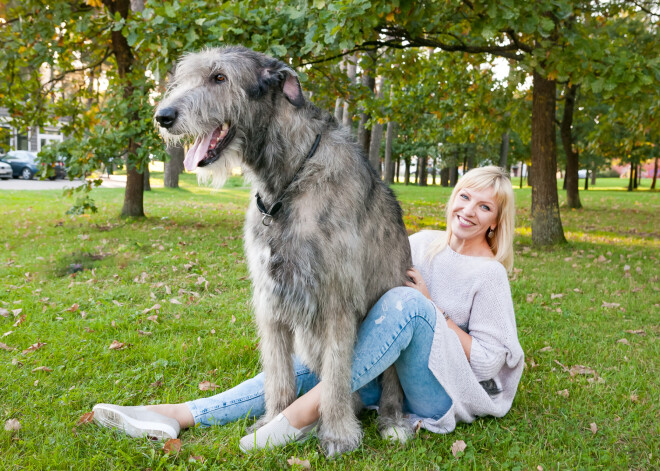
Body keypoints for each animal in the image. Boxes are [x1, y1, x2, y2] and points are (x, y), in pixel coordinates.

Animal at [155, 46, 412, 456]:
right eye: (184, 78)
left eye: (219, 78)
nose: (163, 116)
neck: (288, 182)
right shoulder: (270, 298)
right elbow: (277, 371)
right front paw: (274, 419)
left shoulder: (336, 298)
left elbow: (338, 373)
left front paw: (337, 433)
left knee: (388, 380)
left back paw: (391, 420)